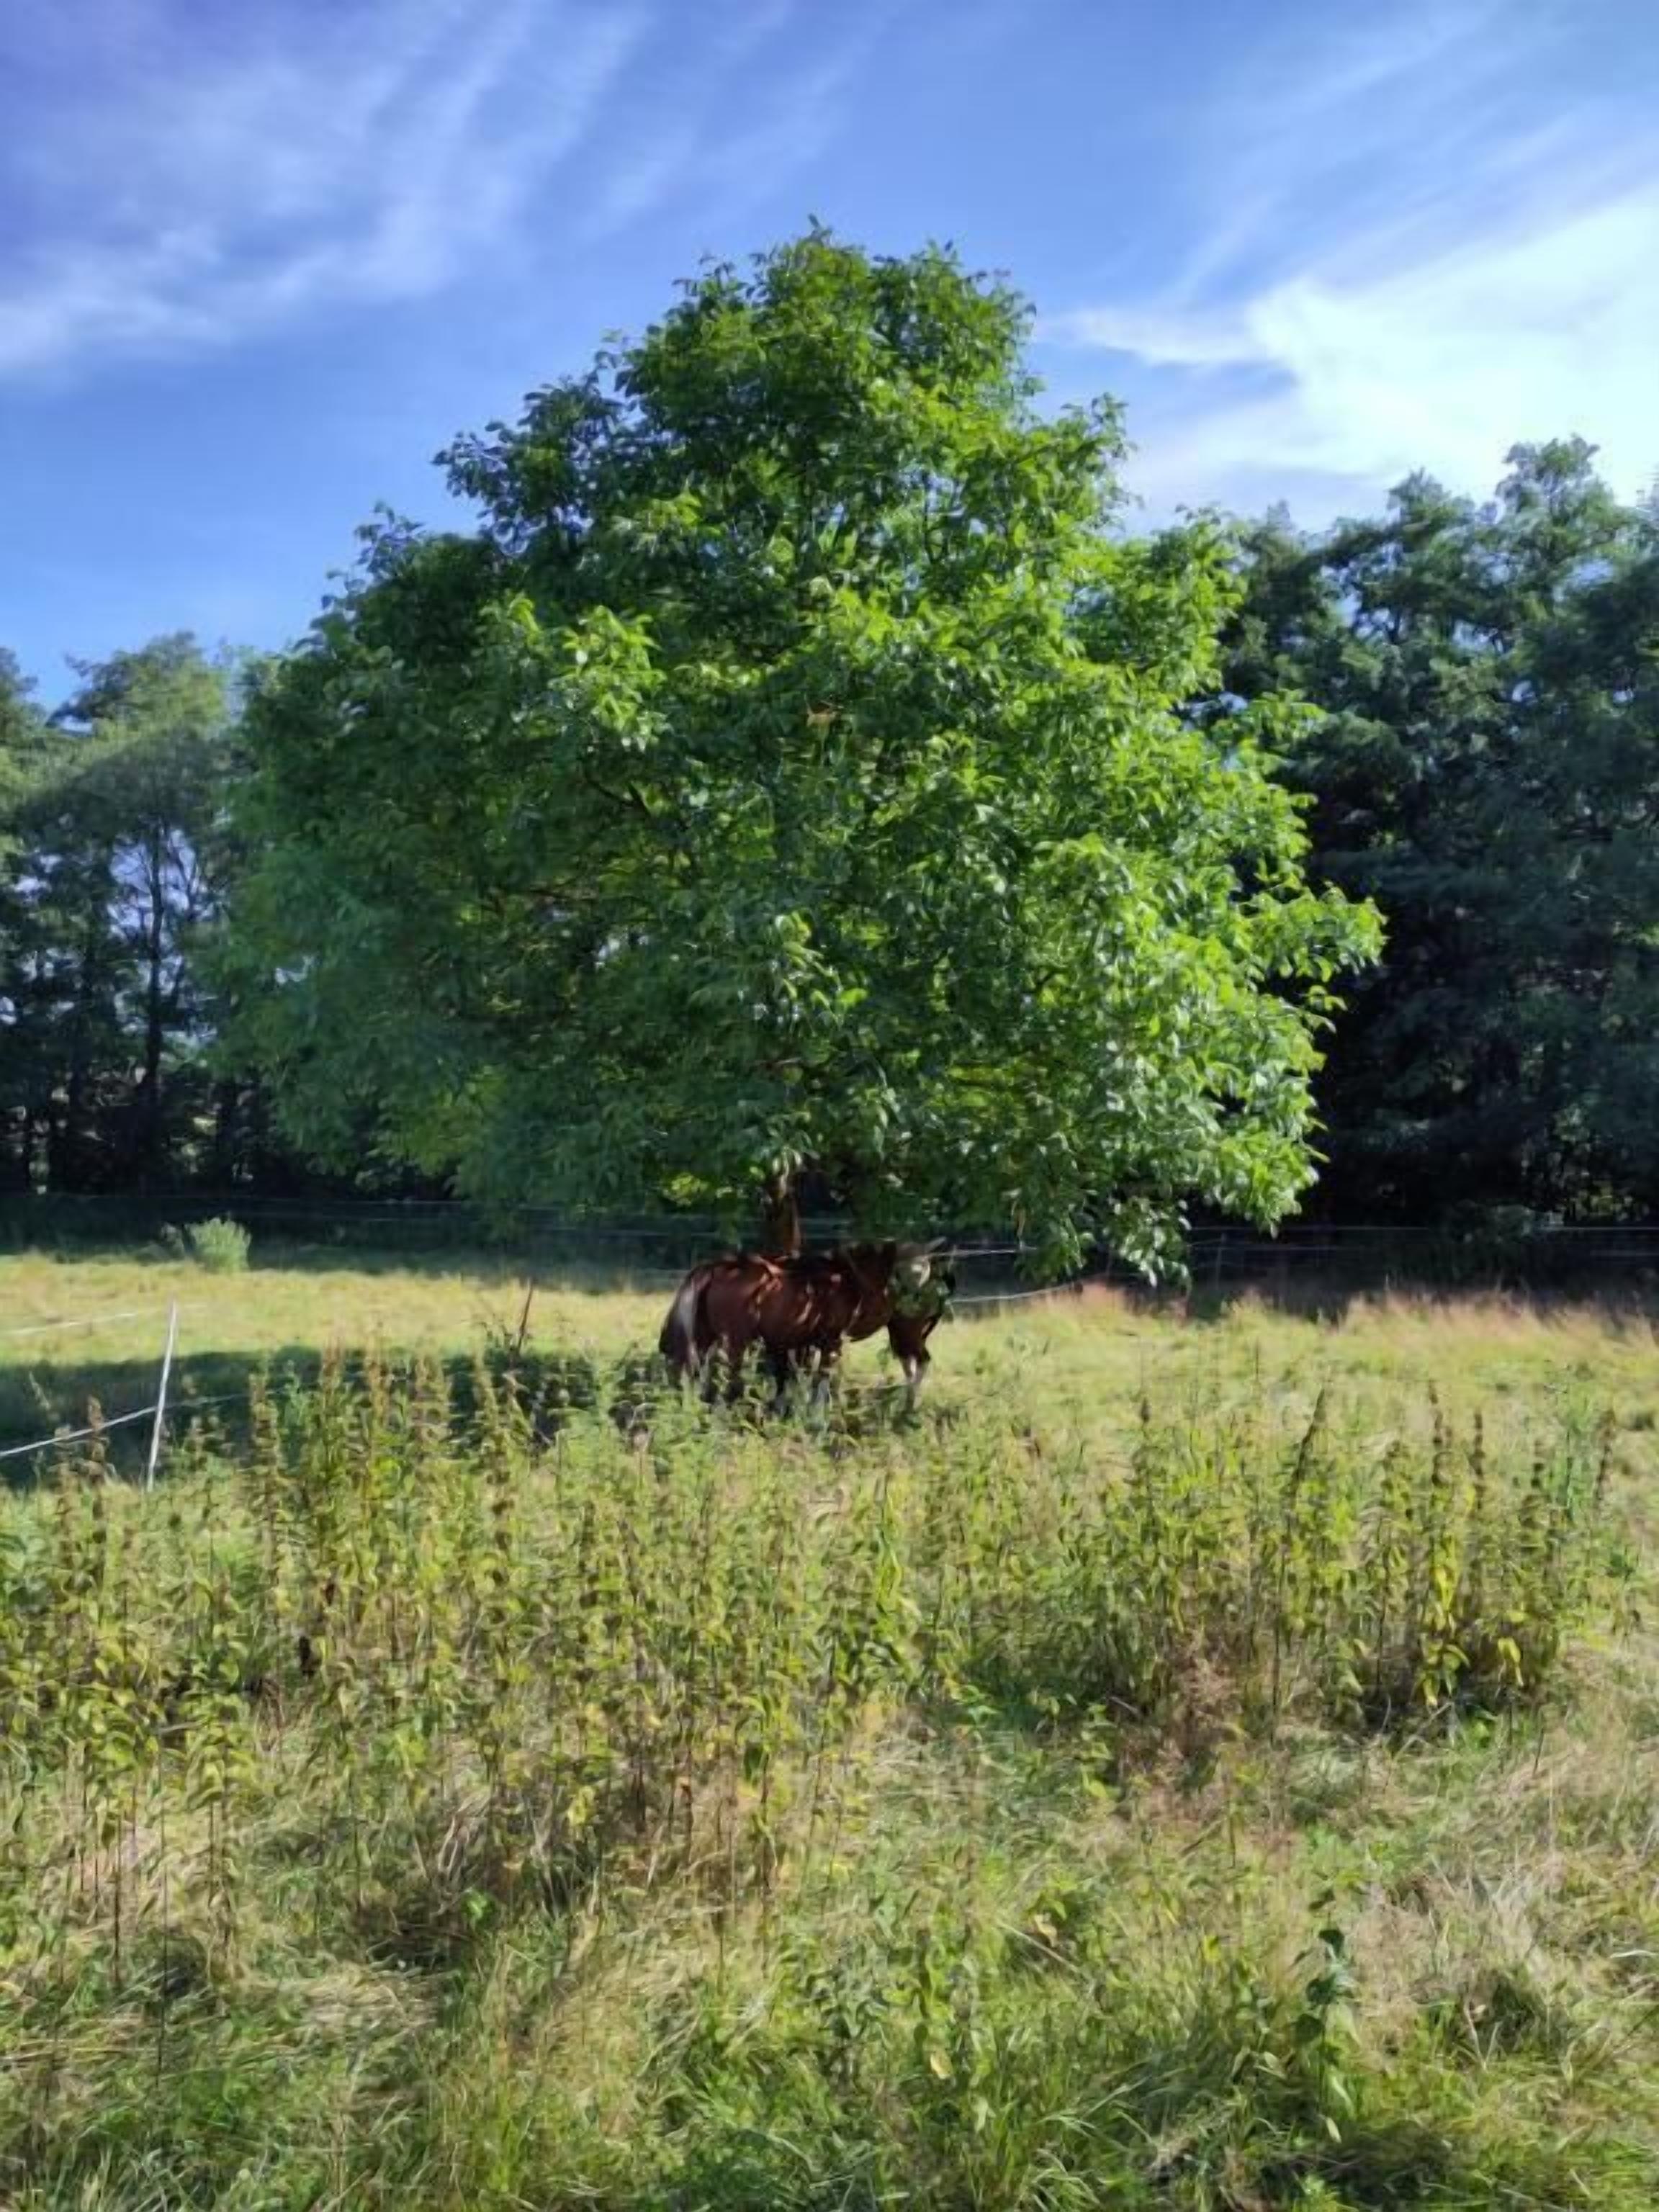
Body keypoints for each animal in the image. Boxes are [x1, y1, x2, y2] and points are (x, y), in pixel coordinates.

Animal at [659, 1238, 950, 1411]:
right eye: (910, 1268)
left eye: (924, 1267)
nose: (920, 1302)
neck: (848, 1278)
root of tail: (717, 1267)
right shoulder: (832, 1341)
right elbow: (819, 1380)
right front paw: (816, 1415)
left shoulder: (803, 1344)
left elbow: (800, 1380)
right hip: (733, 1341)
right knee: (721, 1376)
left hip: (704, 1337)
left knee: (689, 1371)